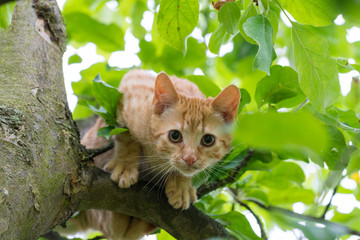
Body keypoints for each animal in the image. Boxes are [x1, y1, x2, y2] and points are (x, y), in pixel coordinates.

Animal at [74, 69, 240, 238]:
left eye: (208, 139)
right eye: (175, 135)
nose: (190, 158)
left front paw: (181, 184)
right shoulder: (130, 84)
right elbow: (125, 136)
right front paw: (125, 166)